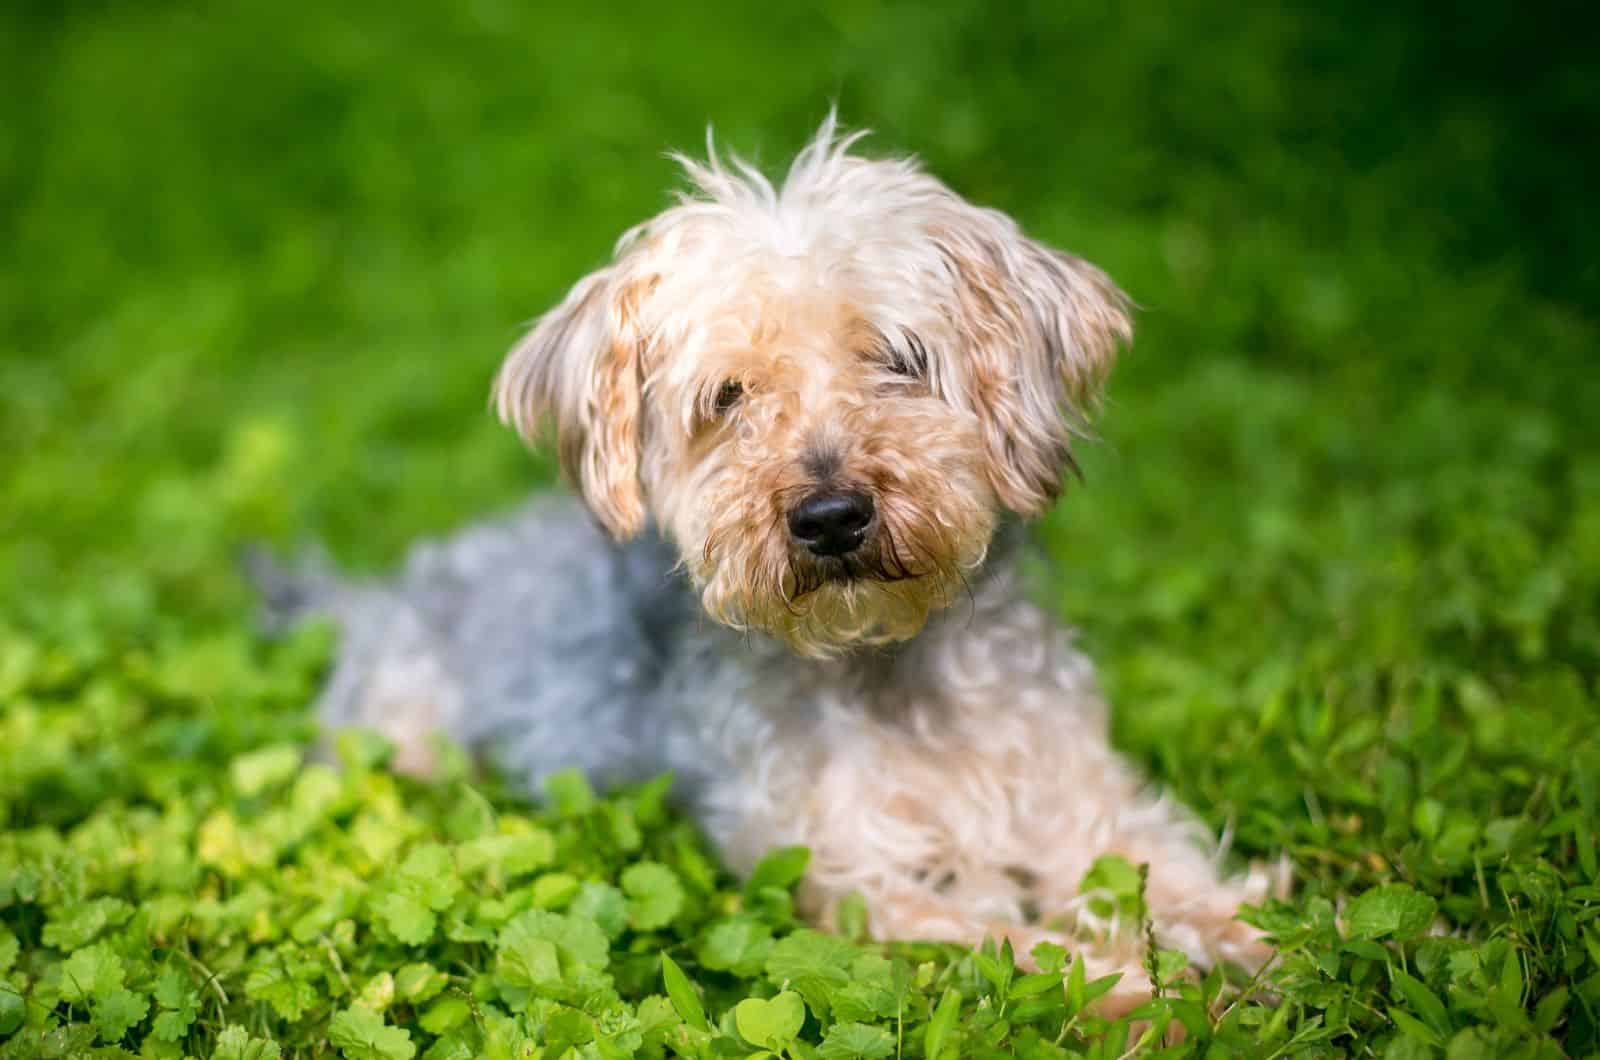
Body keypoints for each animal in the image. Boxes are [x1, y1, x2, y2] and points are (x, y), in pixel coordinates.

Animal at [262, 116, 1286, 1011]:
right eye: (729, 395)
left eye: (898, 358)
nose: (830, 517)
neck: (888, 669)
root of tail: (374, 595)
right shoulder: (852, 882)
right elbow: (1016, 942)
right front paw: (1142, 991)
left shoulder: (1085, 806)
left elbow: (1173, 878)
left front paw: (1267, 945)